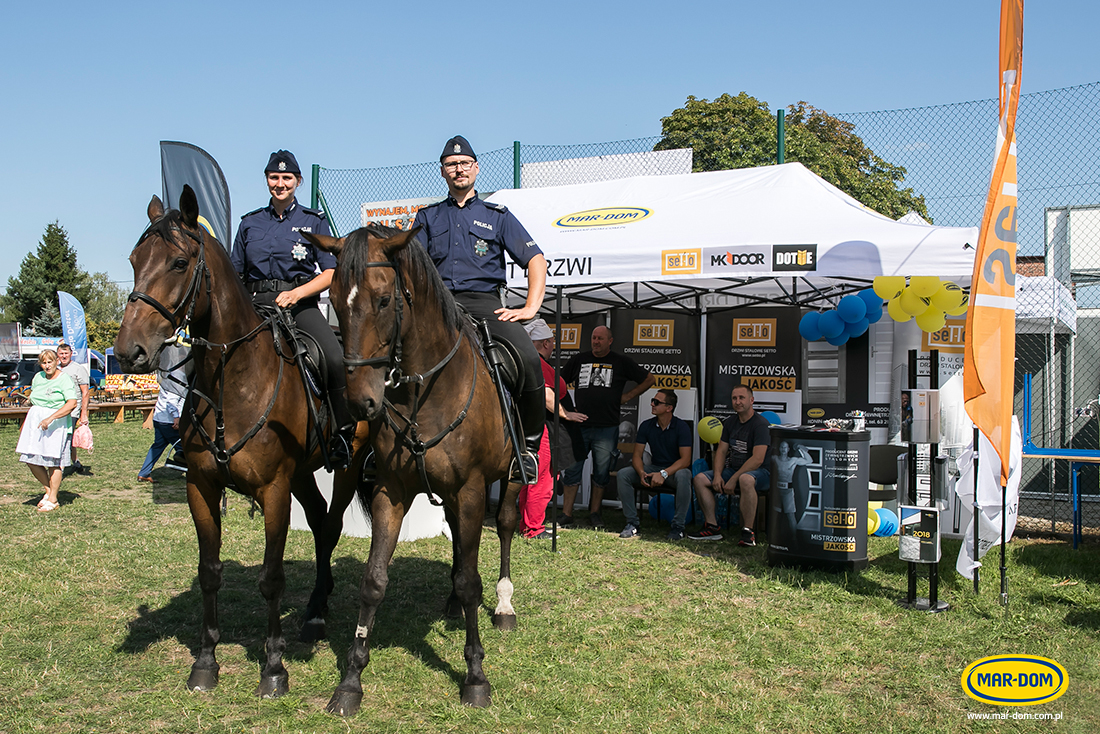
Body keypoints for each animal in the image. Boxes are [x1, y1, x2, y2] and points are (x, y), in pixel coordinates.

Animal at [116, 184, 367, 699]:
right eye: (134, 259)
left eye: (178, 262)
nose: (128, 351)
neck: (234, 381)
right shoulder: (202, 488)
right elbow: (209, 573)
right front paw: (205, 662)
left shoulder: (273, 491)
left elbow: (271, 577)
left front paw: (273, 668)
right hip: (302, 475)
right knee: (318, 521)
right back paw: (315, 611)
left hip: (346, 466)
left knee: (330, 525)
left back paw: (317, 612)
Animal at [303, 225, 521, 717]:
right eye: (334, 299)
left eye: (384, 300)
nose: (361, 402)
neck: (428, 390)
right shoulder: (392, 492)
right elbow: (373, 581)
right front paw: (350, 681)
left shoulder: (472, 490)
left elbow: (471, 581)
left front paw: (475, 677)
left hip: (510, 479)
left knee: (503, 527)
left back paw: (503, 604)